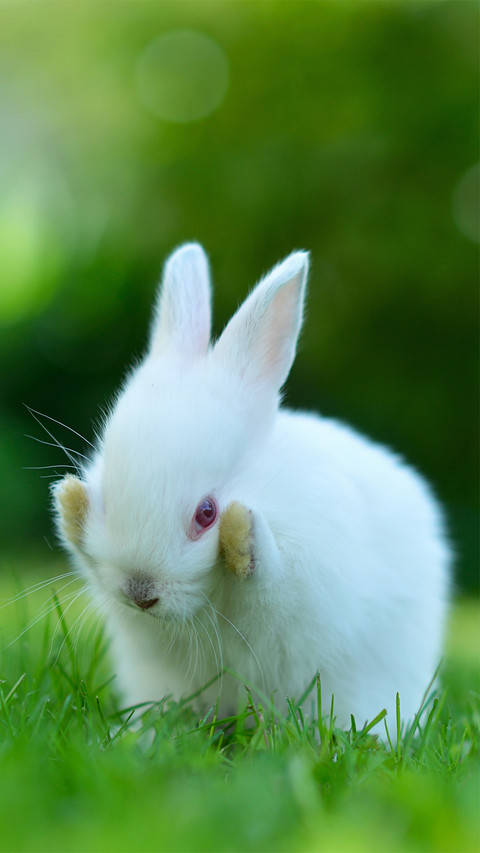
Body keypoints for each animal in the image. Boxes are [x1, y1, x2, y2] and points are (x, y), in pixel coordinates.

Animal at [52, 243, 451, 734]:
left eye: (207, 513)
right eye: (107, 496)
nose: (140, 593)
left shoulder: (301, 575)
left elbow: (270, 576)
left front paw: (242, 533)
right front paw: (70, 501)